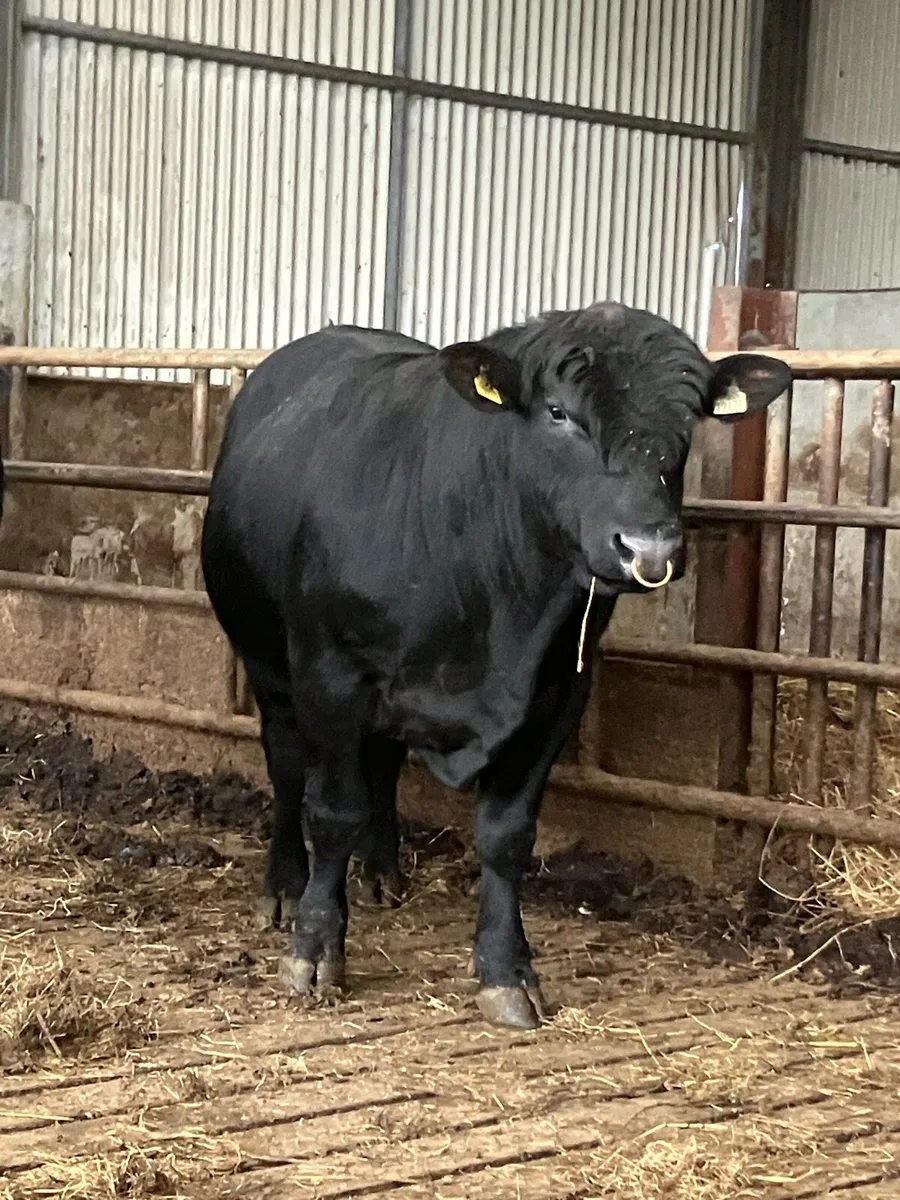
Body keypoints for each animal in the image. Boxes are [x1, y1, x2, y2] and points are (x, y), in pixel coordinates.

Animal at [201, 302, 791, 1030]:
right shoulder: (330, 676)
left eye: (690, 418)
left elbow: (508, 835)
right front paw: (314, 948)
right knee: (287, 766)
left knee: (383, 765)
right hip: (269, 664)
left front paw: (507, 972)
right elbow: (333, 811)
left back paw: (383, 871)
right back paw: (285, 886)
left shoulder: (557, 692)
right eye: (559, 412)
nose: (648, 547)